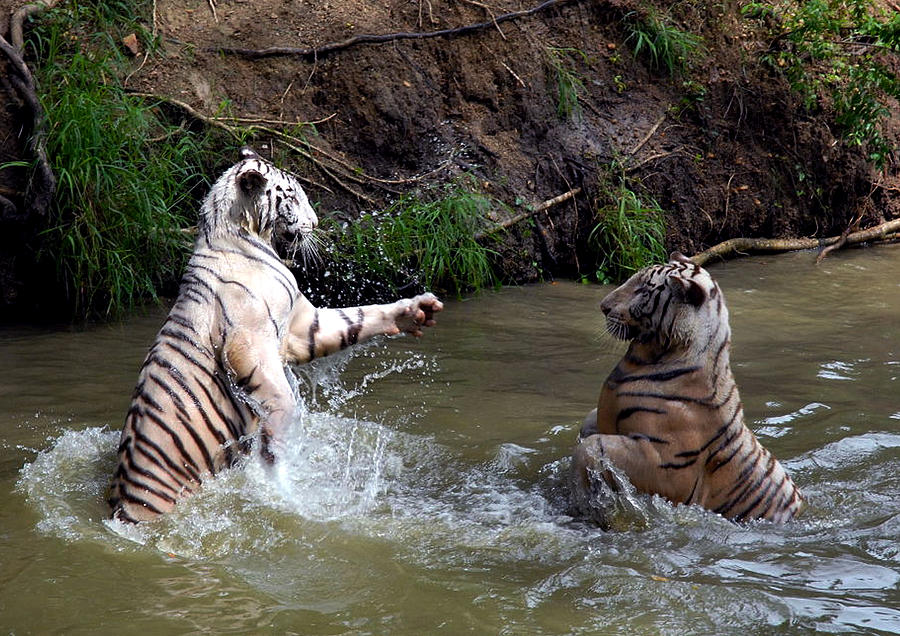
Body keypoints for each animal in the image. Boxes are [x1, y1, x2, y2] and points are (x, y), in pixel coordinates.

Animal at [110, 149, 442, 520]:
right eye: (293, 197)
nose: (316, 223)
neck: (241, 237)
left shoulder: (302, 325)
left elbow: (355, 317)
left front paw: (415, 311)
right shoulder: (248, 340)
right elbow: (280, 396)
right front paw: (274, 454)